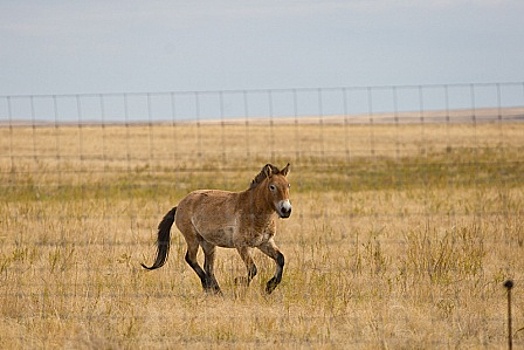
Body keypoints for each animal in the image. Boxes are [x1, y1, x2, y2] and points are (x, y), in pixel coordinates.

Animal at [141, 163, 292, 294]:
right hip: (192, 239)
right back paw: (210, 287)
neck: (253, 209)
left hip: (208, 244)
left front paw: (270, 286)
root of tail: (179, 206)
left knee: (208, 267)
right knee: (191, 259)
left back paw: (216, 290)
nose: (286, 210)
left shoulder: (265, 243)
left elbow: (280, 259)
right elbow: (252, 269)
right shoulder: (241, 245)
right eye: (272, 187)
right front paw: (239, 282)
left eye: (288, 185)